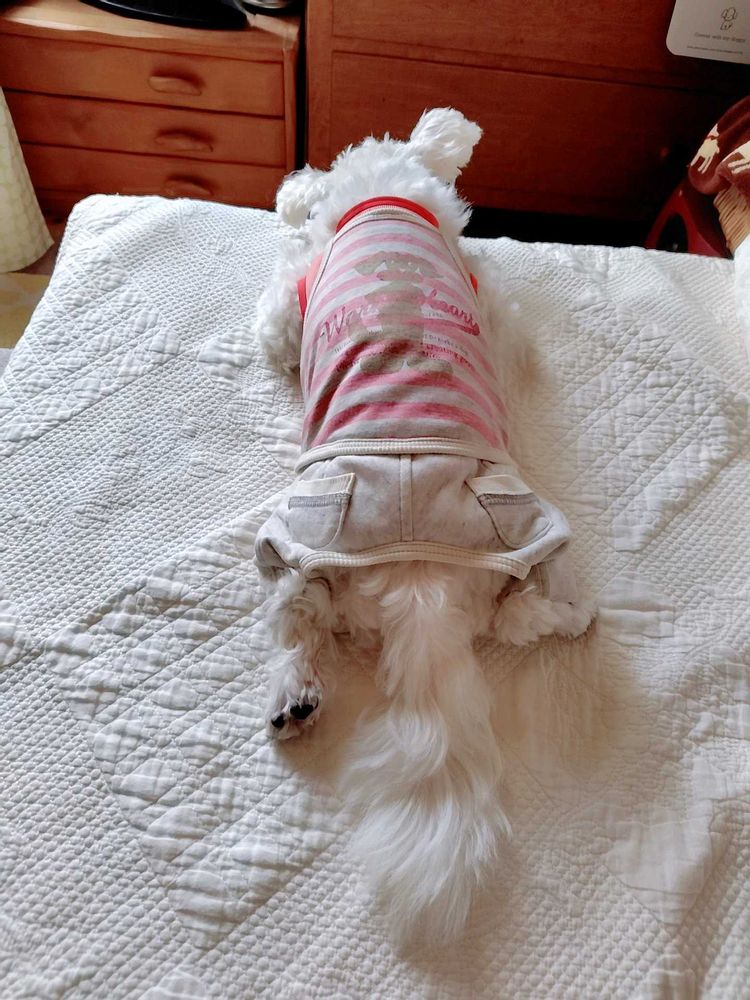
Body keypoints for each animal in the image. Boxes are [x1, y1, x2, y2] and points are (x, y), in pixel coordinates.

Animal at [252, 108, 593, 944]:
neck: (385, 198)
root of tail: (421, 585)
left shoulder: (291, 297)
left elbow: (274, 324)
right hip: (520, 529)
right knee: (528, 615)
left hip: (304, 528)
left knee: (293, 623)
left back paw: (294, 693)